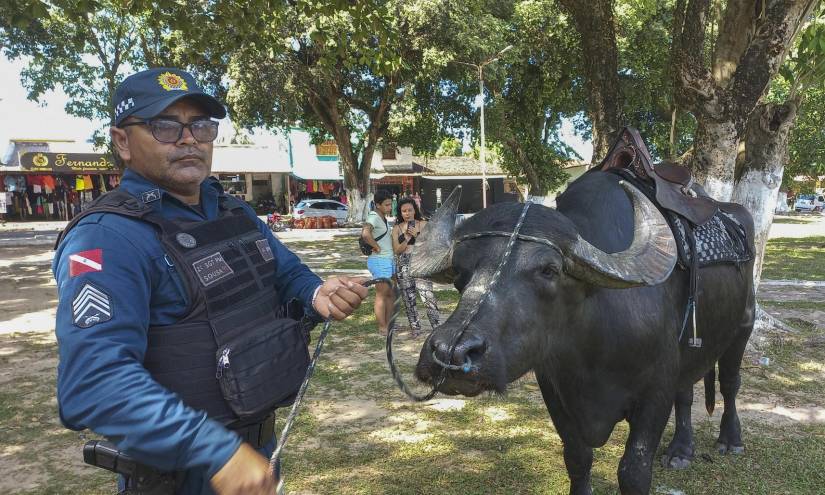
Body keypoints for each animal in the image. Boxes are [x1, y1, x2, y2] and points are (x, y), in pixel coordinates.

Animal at [412, 171, 752, 495]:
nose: (450, 353)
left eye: (549, 270)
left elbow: (633, 472)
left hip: (743, 326)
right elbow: (577, 459)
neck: (592, 351)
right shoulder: (555, 392)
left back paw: (730, 440)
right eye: (460, 270)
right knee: (687, 392)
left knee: (729, 383)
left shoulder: (655, 393)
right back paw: (680, 450)